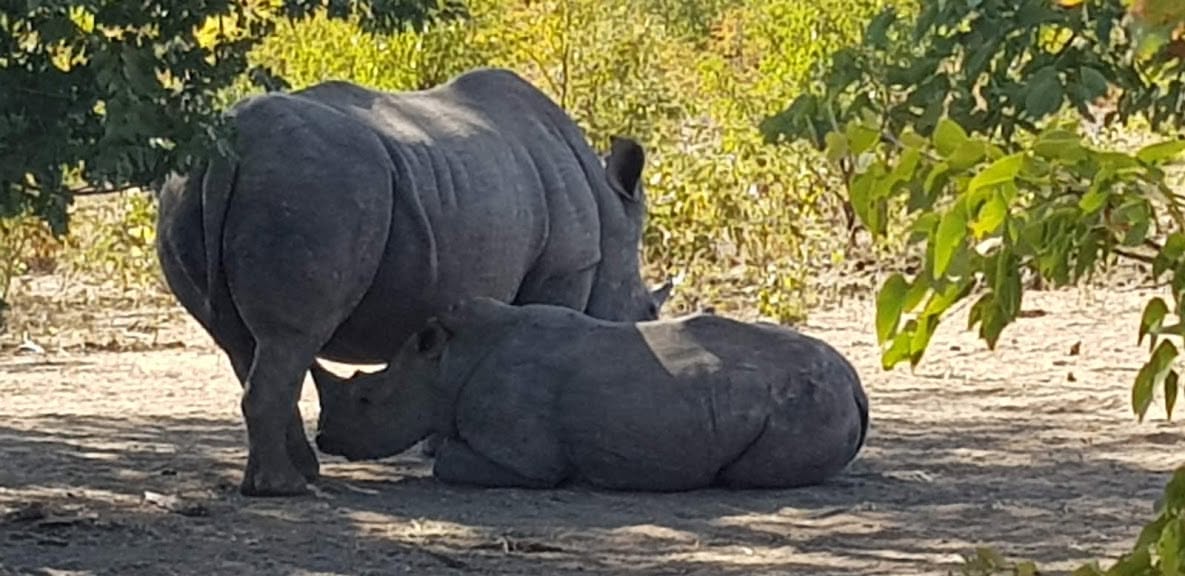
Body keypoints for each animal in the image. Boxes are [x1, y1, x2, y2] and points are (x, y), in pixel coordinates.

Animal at [155, 68, 672, 496]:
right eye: (649, 310)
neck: (611, 211)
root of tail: (229, 151)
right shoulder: (567, 267)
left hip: (188, 187)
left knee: (241, 341)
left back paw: (298, 474)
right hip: (313, 188)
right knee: (291, 338)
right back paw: (285, 489)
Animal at [312, 297, 870, 491]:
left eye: (366, 402)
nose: (324, 441)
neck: (445, 365)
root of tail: (855, 382)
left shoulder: (525, 459)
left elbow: (447, 462)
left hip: (808, 399)